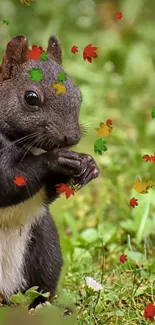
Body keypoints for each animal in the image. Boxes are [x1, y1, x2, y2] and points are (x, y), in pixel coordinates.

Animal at [0, 34, 99, 308]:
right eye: (31, 97)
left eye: (78, 94)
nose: (72, 137)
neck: (30, 147)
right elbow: (7, 182)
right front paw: (55, 159)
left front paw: (88, 164)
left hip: (46, 249)